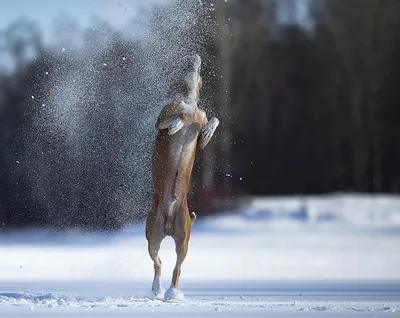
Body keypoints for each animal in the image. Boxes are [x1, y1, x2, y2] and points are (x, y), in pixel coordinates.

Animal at [145, 53, 219, 300]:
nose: (195, 55)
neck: (189, 99)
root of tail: (168, 225)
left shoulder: (201, 133)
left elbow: (212, 122)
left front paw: (206, 128)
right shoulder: (162, 120)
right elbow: (180, 116)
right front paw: (178, 125)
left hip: (184, 238)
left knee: (176, 268)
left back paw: (172, 292)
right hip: (152, 234)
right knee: (158, 263)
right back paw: (157, 289)